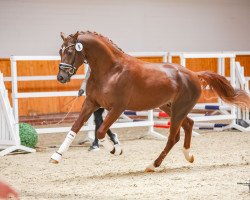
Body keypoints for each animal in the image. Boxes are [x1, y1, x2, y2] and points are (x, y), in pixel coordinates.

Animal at [50, 31, 250, 172]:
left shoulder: (118, 108)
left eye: (70, 51)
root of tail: (194, 74)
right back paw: (188, 156)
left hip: (178, 110)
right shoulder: (91, 103)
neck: (110, 70)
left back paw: (153, 165)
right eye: (60, 51)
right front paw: (56, 156)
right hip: (170, 108)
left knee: (173, 137)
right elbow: (74, 128)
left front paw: (115, 149)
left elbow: (100, 131)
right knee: (189, 125)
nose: (61, 77)